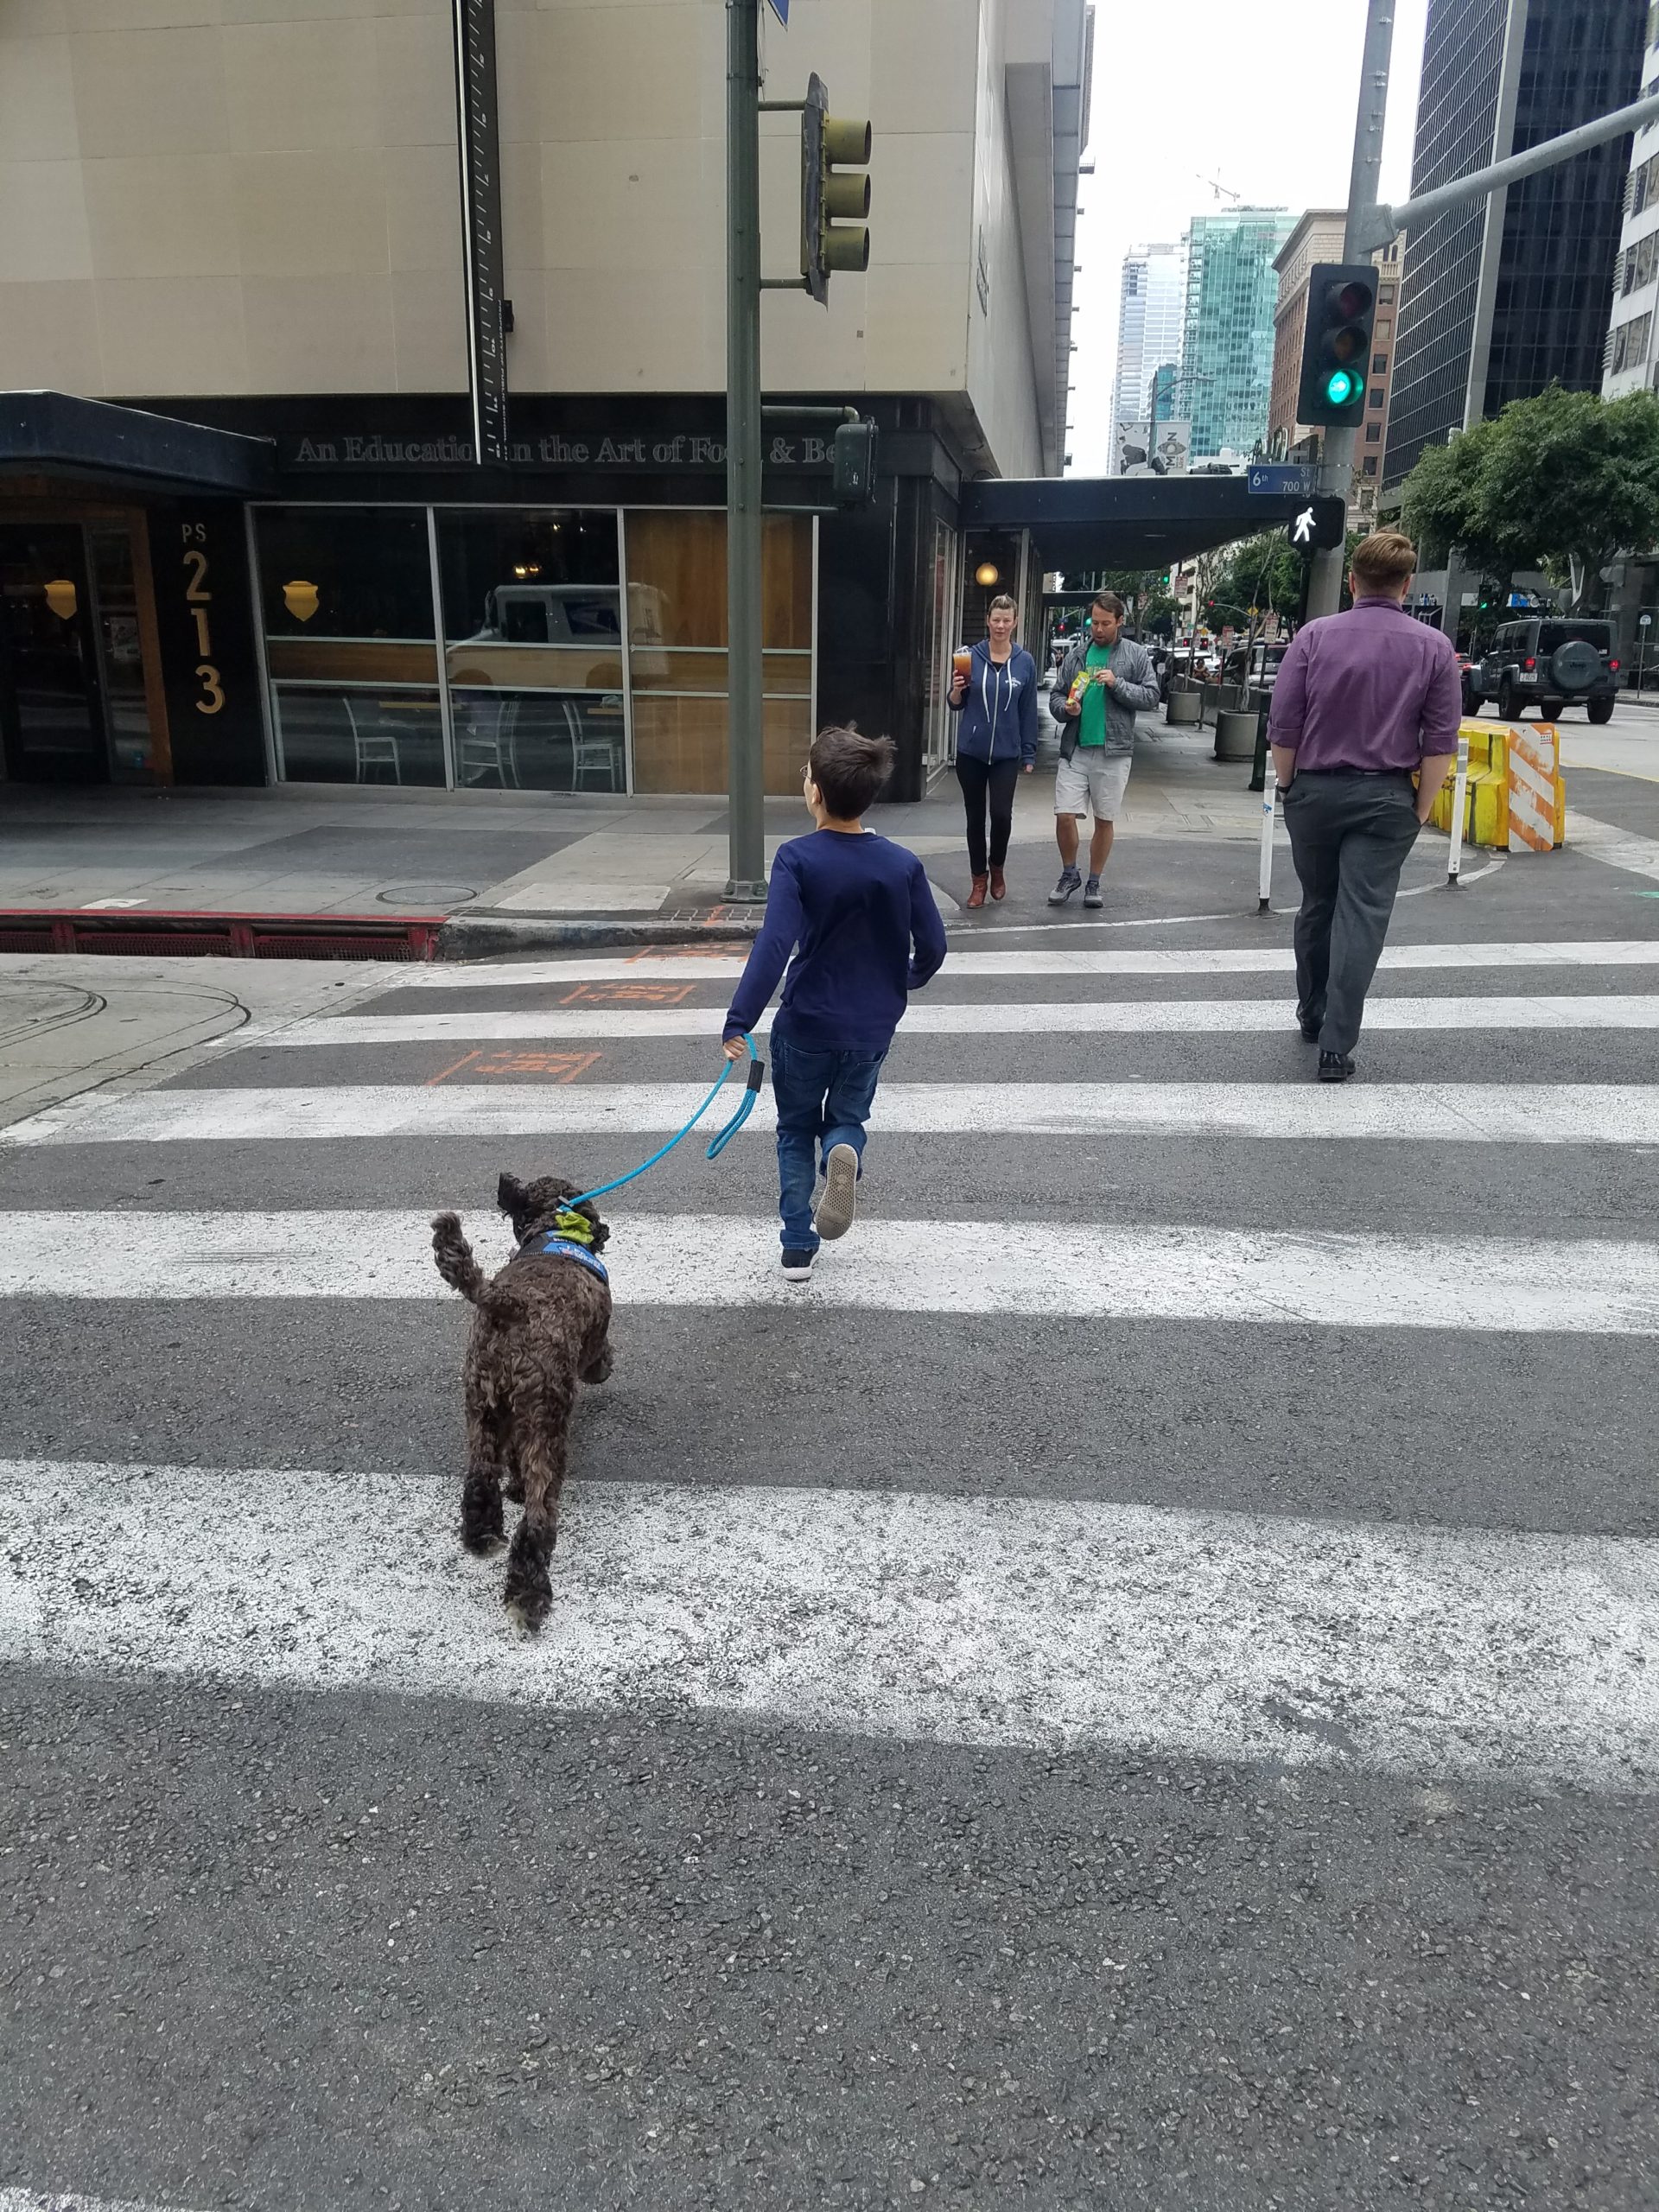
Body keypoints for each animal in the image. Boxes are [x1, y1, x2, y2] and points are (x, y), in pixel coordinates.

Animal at [430, 1173, 614, 1630]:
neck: (556, 1229)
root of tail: (509, 1307)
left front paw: (512, 1487)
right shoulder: (592, 1345)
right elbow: (600, 1359)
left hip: (483, 1403)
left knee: (480, 1475)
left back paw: (481, 1535)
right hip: (546, 1421)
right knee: (538, 1515)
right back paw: (530, 1593)